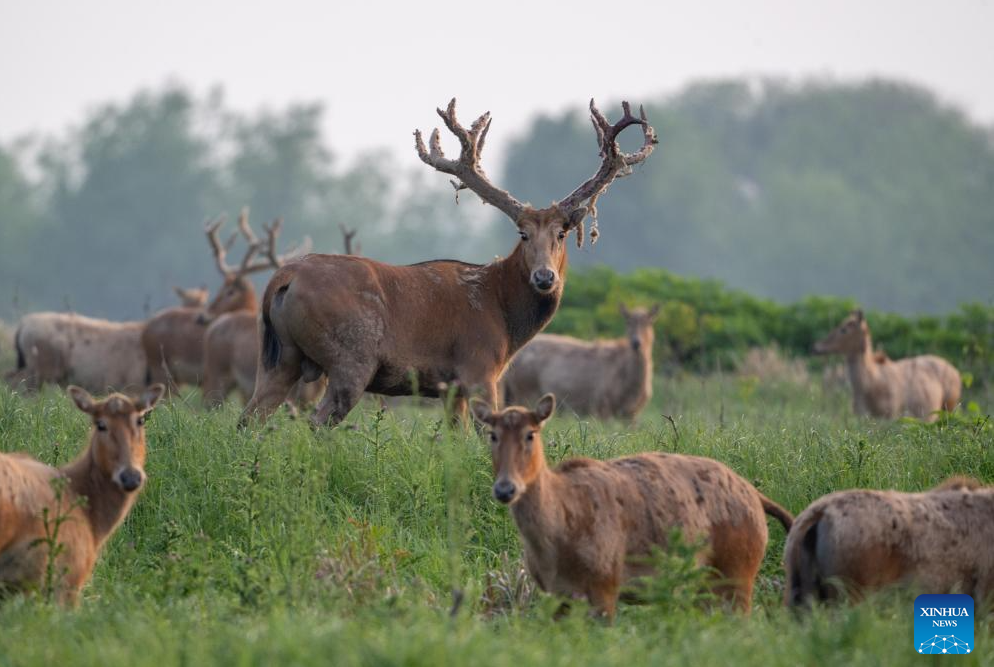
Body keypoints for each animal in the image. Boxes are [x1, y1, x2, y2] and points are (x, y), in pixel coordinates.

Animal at [470, 393, 793, 619]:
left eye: (530, 434)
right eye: (493, 434)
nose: (505, 488)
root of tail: (757, 497)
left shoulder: (606, 584)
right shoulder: (554, 594)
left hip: (739, 572)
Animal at [501, 304, 659, 420]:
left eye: (649, 322)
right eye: (628, 322)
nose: (636, 343)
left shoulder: (632, 414)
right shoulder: (602, 407)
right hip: (524, 395)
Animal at [812, 310, 961, 422]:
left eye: (843, 329)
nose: (816, 347)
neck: (870, 382)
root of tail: (955, 372)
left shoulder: (891, 415)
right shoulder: (863, 417)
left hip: (948, 408)